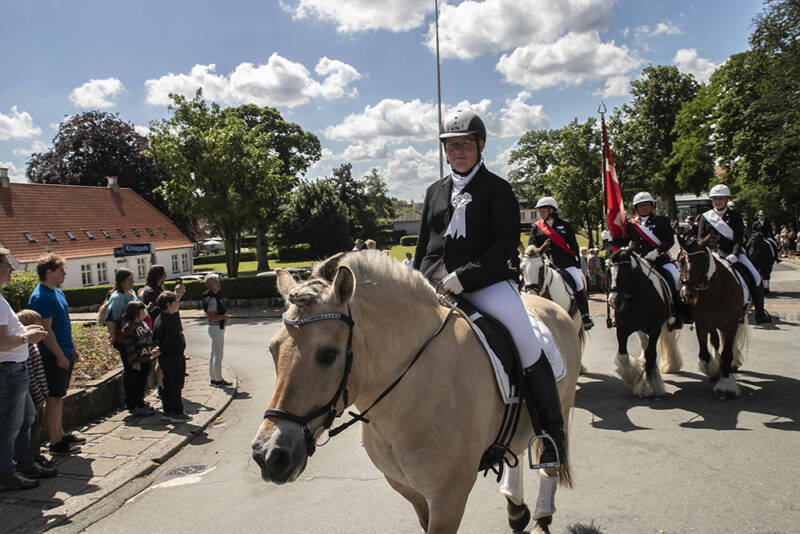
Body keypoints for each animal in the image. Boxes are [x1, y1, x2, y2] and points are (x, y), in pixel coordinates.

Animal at [250, 252, 580, 534]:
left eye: (328, 354)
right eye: (273, 350)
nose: (269, 455)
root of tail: (549, 305)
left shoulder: (449, 498)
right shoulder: (408, 489)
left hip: (562, 409)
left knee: (551, 457)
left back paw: (541, 516)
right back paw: (515, 507)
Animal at [608, 247, 680, 398]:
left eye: (625, 271)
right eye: (608, 271)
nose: (613, 301)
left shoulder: (655, 328)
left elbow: (651, 354)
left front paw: (648, 386)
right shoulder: (622, 329)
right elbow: (623, 356)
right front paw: (633, 377)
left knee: (668, 340)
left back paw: (671, 365)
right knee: (644, 342)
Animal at [680, 236, 748, 398]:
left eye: (701, 260)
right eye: (680, 260)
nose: (687, 294)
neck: (716, 292)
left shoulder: (731, 324)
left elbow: (727, 353)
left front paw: (726, 386)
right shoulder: (702, 323)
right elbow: (704, 354)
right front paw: (714, 370)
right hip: (714, 324)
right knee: (716, 342)